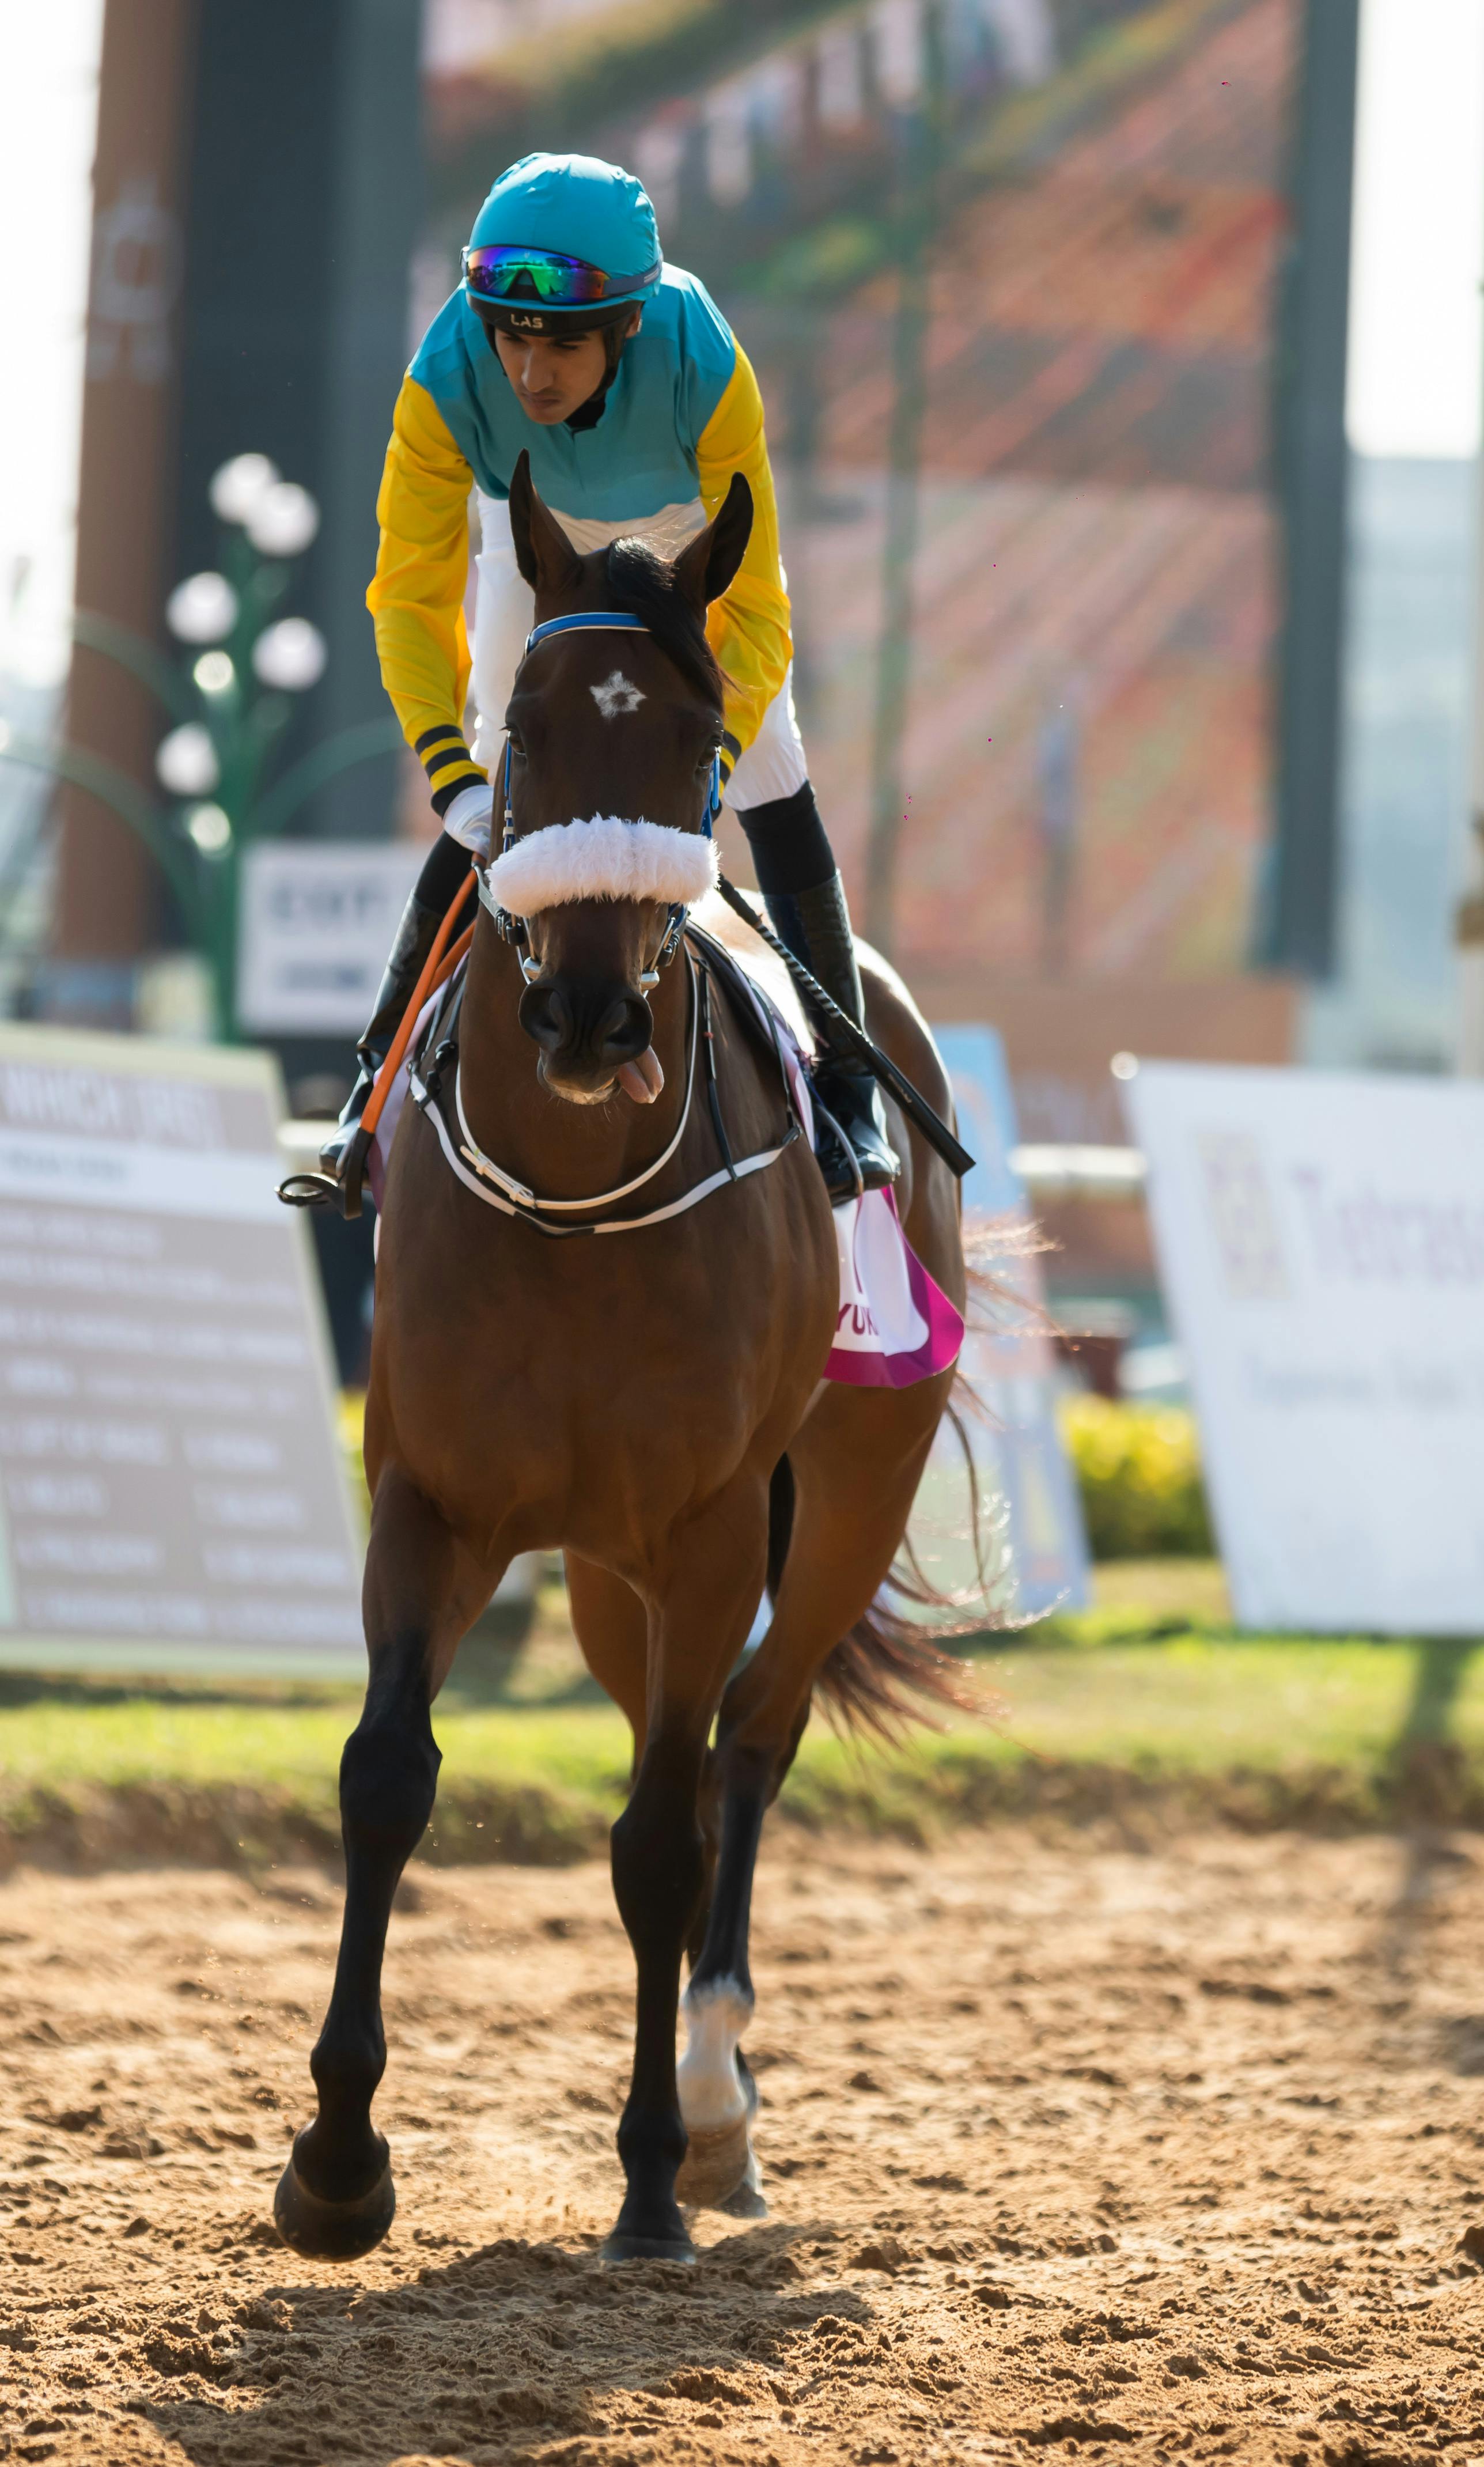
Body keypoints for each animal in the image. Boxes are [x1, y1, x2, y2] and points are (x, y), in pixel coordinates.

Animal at [275, 453, 971, 2260]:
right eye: (518, 728)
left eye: (696, 733)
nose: (587, 1018)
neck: (580, 1206)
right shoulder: (432, 1500)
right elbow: (386, 1779)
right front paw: (338, 2157)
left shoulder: (713, 1528)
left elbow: (663, 1834)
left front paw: (653, 2165)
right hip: (598, 1577)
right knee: (691, 1730)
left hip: (842, 1499)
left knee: (749, 1737)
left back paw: (716, 2100)